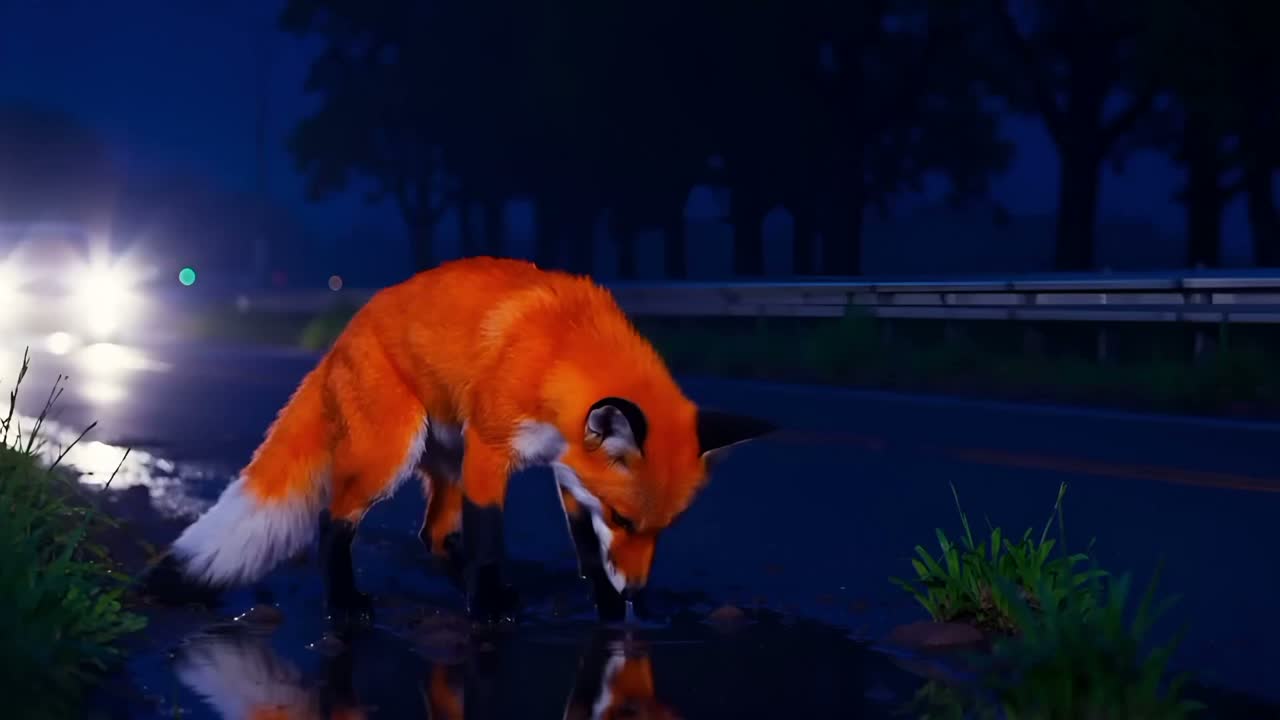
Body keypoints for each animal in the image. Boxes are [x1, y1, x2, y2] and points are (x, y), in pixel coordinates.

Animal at [146, 256, 774, 624]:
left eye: (662, 529)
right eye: (624, 519)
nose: (636, 597)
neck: (557, 355)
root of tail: (338, 342)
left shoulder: (568, 469)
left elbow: (584, 548)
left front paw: (603, 603)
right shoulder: (492, 451)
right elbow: (491, 535)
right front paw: (491, 604)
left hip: (445, 464)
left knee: (432, 534)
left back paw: (457, 582)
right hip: (393, 455)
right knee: (333, 521)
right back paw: (348, 600)